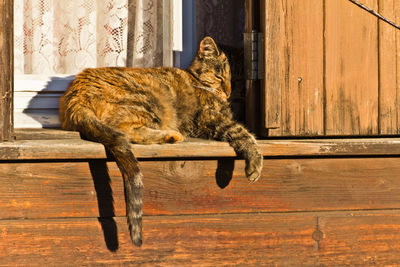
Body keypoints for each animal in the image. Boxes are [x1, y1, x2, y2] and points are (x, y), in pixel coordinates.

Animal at [59, 36, 264, 248]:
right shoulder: (209, 119)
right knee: (125, 130)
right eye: (219, 76)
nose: (229, 91)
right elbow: (242, 132)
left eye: (238, 80)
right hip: (148, 99)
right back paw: (171, 135)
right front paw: (254, 166)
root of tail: (76, 93)